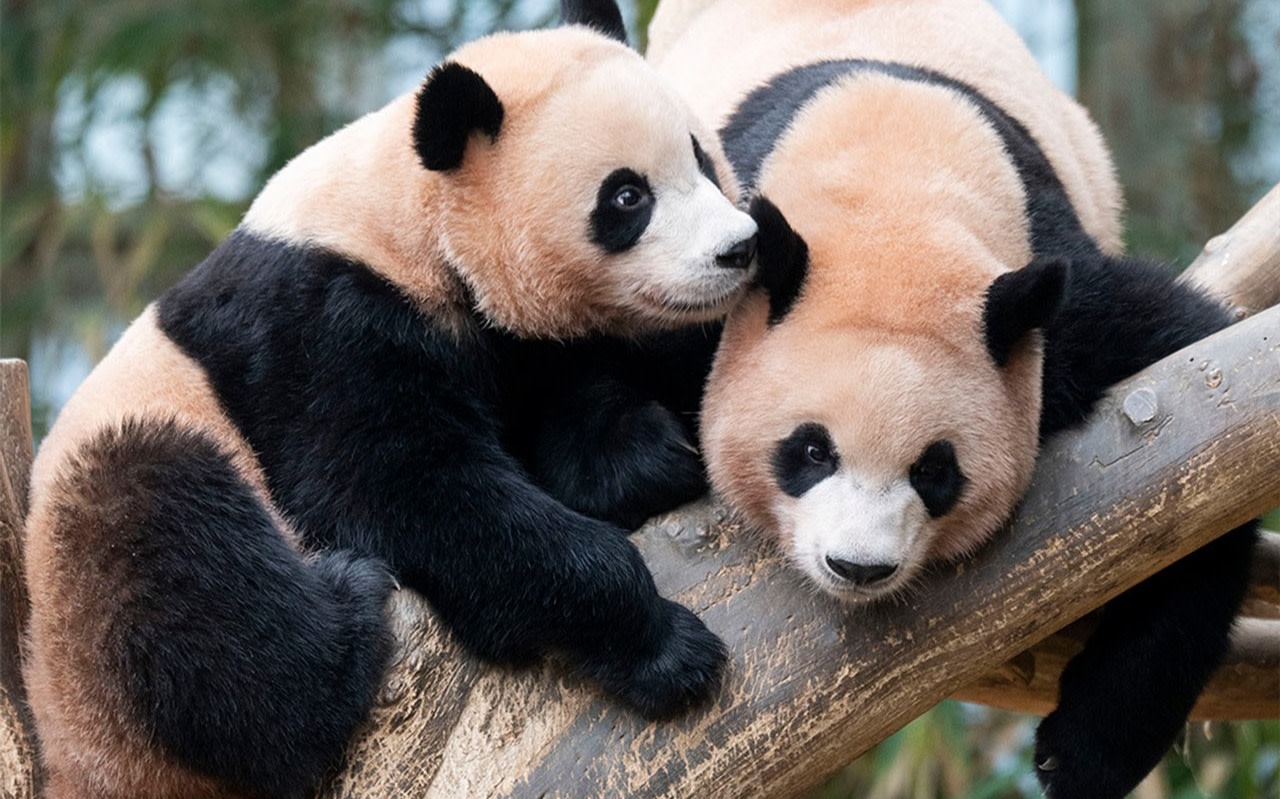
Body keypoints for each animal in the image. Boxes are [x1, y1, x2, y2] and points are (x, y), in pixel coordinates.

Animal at [22, 3, 758, 797]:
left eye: (702, 158)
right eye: (628, 196)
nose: (739, 248)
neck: (409, 217)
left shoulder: (511, 343)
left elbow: (566, 405)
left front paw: (646, 454)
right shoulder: (317, 327)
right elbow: (399, 488)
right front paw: (664, 644)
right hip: (92, 607)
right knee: (167, 545)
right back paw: (347, 612)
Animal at [648, 1, 1258, 797]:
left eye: (935, 469)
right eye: (810, 450)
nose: (858, 568)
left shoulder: (1067, 308)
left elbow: (1208, 459)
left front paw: (1081, 753)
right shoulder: (706, 286)